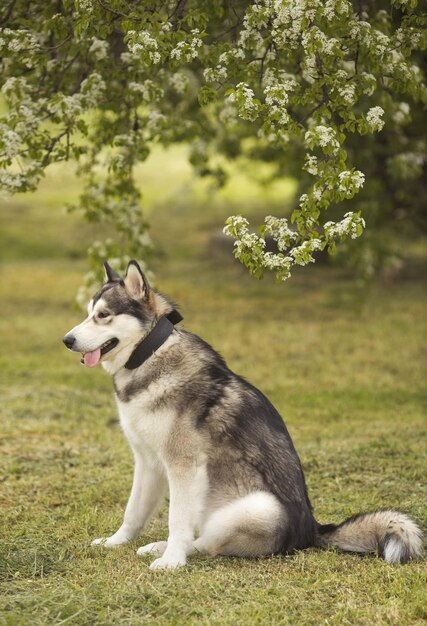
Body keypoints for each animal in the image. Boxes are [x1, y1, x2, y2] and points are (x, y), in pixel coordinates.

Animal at [64, 260, 424, 568]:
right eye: (88, 314)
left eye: (103, 315)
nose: (67, 340)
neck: (150, 353)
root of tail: (313, 531)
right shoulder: (148, 462)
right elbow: (133, 512)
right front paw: (116, 542)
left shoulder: (184, 465)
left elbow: (176, 520)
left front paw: (172, 562)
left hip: (256, 508)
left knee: (205, 543)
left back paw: (169, 551)